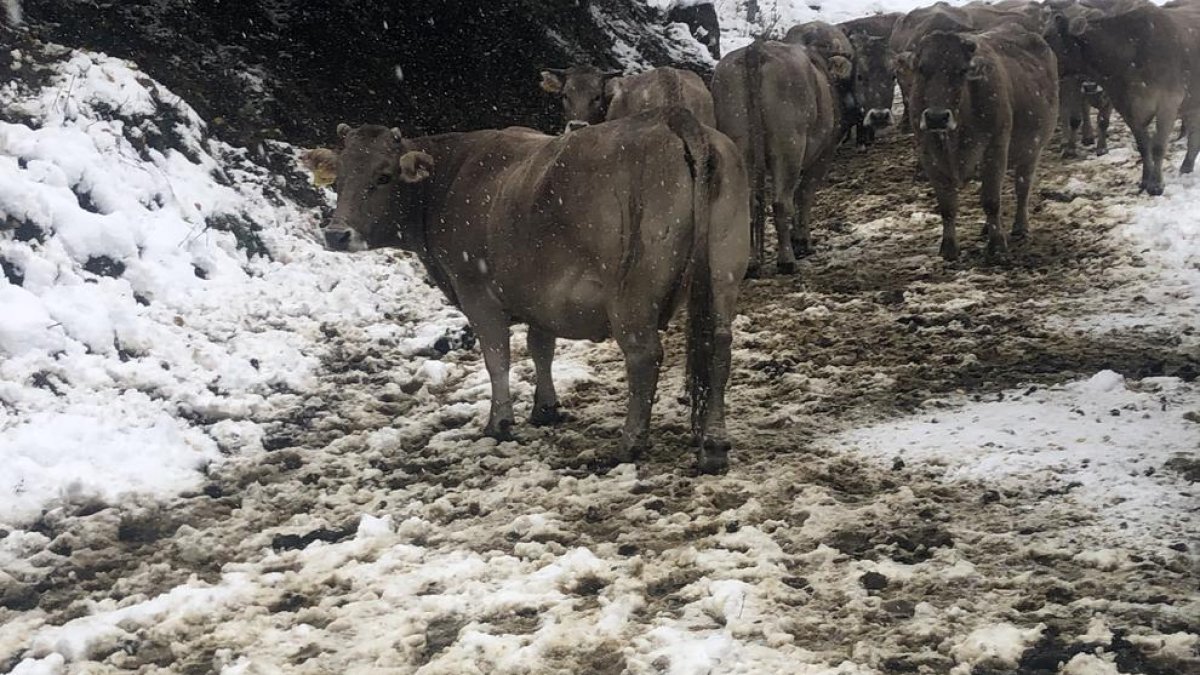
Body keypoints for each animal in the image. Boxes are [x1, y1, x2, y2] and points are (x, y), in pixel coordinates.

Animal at [710, 39, 854, 273]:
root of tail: (755, 50)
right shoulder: (824, 154)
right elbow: (803, 195)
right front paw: (802, 242)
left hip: (741, 144)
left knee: (750, 201)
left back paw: (752, 262)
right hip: (788, 147)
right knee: (781, 202)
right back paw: (787, 260)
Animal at [1046, 0, 1195, 192]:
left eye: (1049, 41)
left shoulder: (1168, 102)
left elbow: (1158, 146)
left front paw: (1156, 185)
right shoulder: (1126, 108)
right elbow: (1143, 145)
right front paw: (1145, 181)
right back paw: (1187, 166)